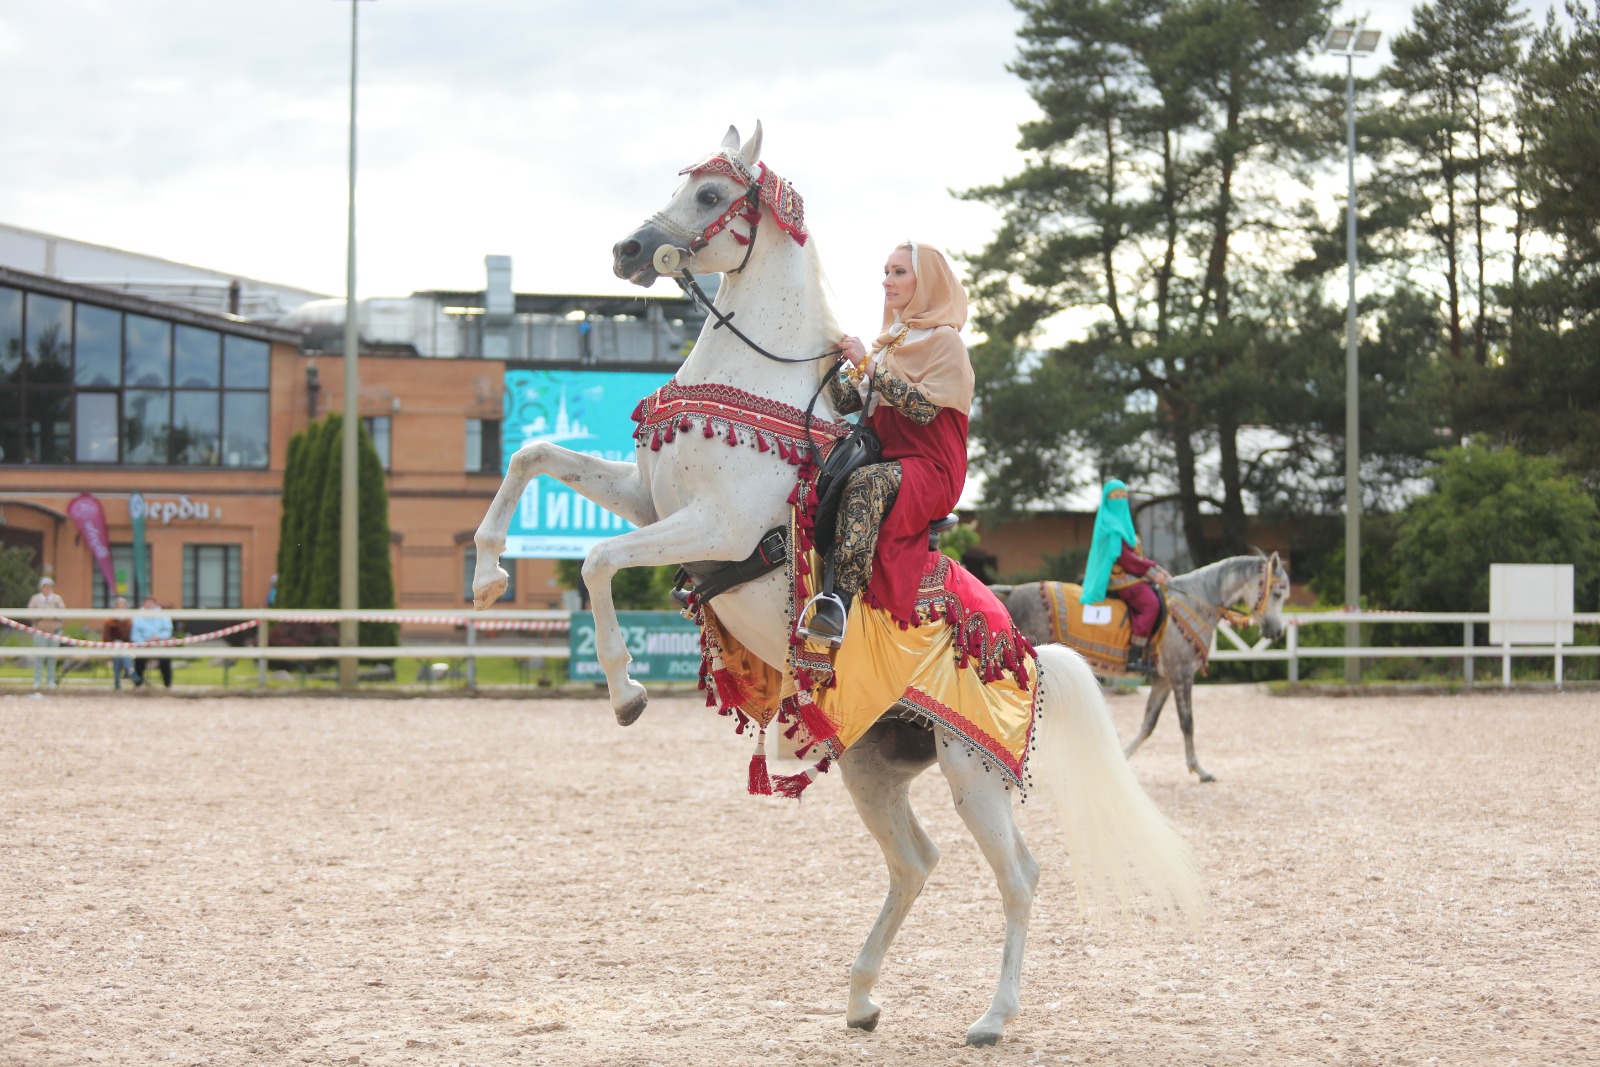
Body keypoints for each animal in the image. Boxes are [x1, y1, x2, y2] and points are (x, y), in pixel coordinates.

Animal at [470, 123, 1203, 1043]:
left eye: (711, 195)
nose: (628, 250)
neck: (757, 389)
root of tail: (1030, 653)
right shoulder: (647, 497)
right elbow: (533, 457)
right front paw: (488, 570)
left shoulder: (715, 528)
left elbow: (598, 561)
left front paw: (626, 688)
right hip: (873, 768)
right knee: (917, 861)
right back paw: (860, 997)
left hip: (975, 775)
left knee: (1020, 875)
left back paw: (991, 1016)